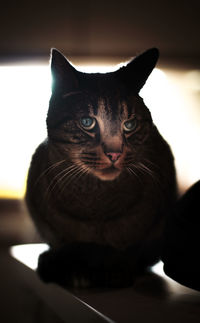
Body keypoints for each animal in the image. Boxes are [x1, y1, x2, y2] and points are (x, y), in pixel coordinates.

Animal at [25, 48, 177, 288]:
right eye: (87, 122)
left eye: (130, 125)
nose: (114, 153)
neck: (95, 205)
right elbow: (64, 244)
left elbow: (127, 253)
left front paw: (111, 268)